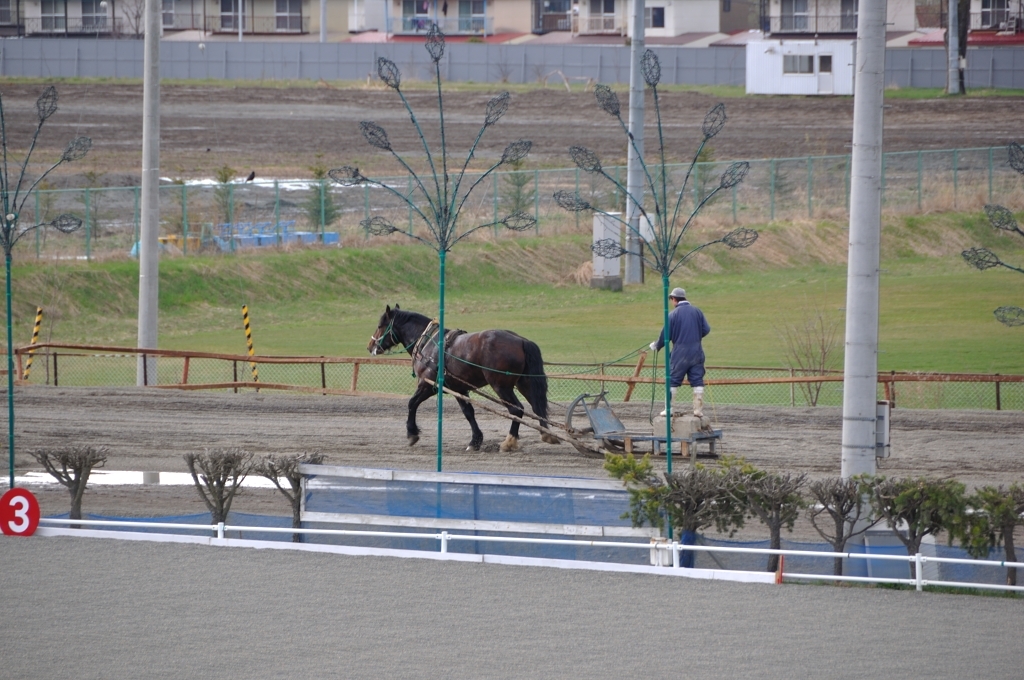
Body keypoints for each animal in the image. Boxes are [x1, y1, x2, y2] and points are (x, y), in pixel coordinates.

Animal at [368, 303, 561, 450]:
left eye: (380, 326)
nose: (370, 346)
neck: (429, 344)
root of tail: (521, 340)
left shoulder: (427, 385)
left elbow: (411, 403)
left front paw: (412, 433)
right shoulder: (458, 388)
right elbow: (468, 413)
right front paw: (475, 441)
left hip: (501, 386)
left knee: (517, 410)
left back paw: (509, 442)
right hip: (524, 383)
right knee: (537, 407)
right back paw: (547, 435)